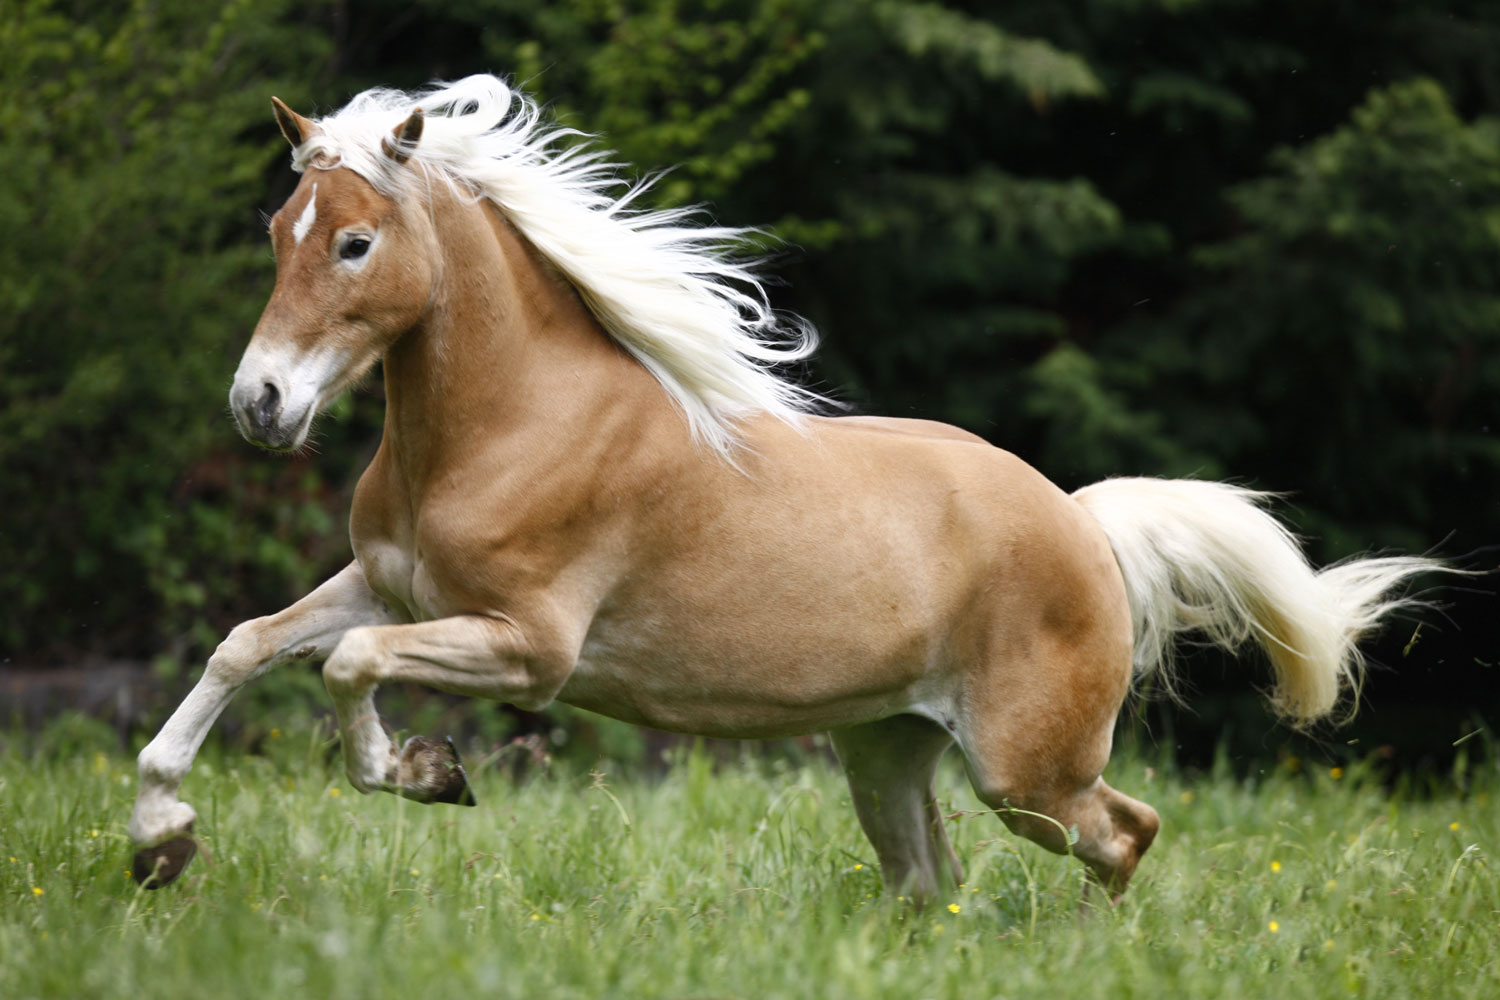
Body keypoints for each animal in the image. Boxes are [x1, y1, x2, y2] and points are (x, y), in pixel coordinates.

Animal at [128, 75, 1436, 901]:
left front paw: (422, 774)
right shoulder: (390, 590)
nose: (260, 404)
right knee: (931, 882)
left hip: (1028, 770)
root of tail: (1082, 521)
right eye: (280, 229)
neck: (509, 425)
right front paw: (160, 836)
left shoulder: (526, 645)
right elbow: (249, 645)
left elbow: (344, 670)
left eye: (355, 243)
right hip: (887, 749)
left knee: (1123, 835)